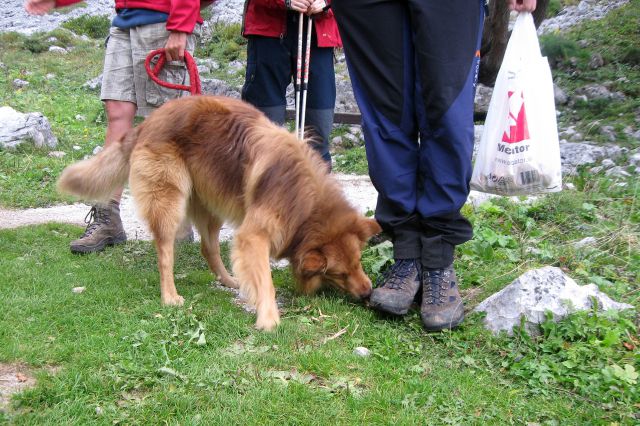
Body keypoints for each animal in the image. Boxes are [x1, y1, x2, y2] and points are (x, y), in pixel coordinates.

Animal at [57, 95, 380, 330]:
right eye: (339, 273)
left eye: (358, 263)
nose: (368, 293)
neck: (306, 204)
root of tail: (146, 123)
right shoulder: (253, 236)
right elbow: (266, 281)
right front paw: (268, 317)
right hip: (169, 202)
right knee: (165, 253)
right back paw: (170, 296)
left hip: (211, 202)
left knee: (208, 247)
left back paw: (229, 281)